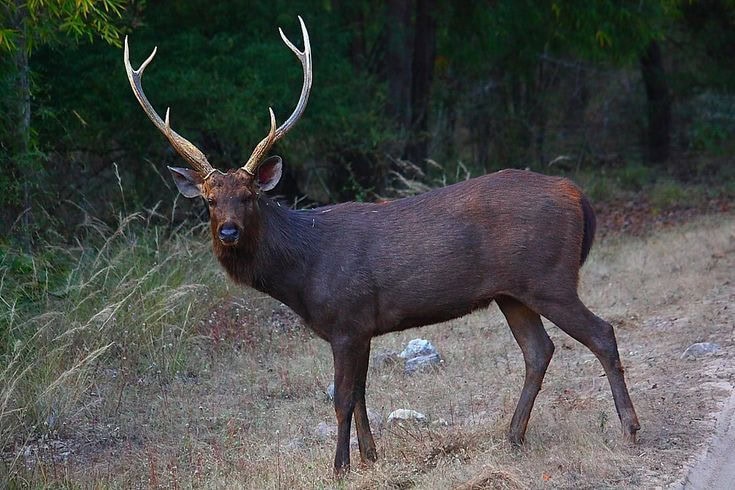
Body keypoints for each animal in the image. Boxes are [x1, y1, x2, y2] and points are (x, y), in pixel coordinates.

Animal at [123, 16, 640, 478]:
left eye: (249, 196)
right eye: (209, 201)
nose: (228, 232)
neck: (302, 273)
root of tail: (577, 196)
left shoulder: (347, 319)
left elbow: (341, 397)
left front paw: (339, 467)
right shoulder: (363, 325)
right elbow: (361, 392)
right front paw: (371, 457)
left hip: (550, 276)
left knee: (602, 333)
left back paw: (629, 429)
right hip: (512, 292)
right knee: (539, 350)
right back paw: (512, 437)